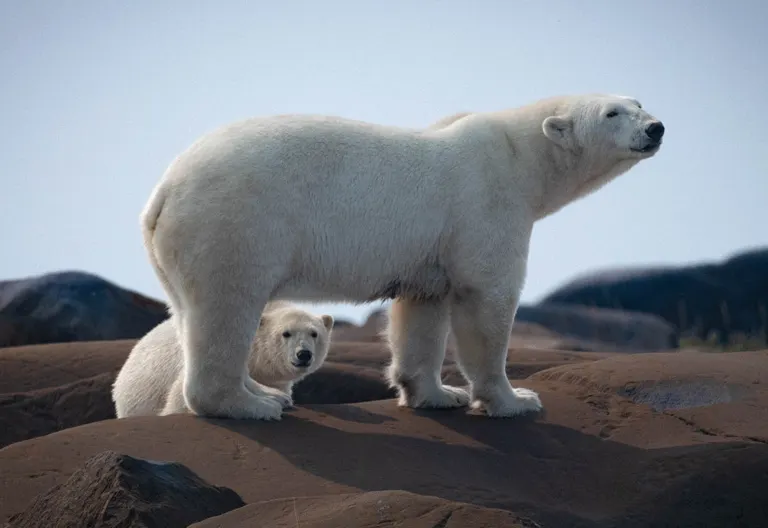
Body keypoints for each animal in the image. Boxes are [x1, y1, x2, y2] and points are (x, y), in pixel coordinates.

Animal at [139, 93, 664, 420]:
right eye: (613, 112)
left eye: (639, 103)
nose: (656, 127)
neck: (518, 155)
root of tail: (165, 189)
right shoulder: (485, 204)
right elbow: (487, 299)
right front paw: (515, 399)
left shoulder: (430, 252)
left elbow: (423, 312)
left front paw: (438, 394)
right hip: (235, 223)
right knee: (228, 305)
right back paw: (252, 404)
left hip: (180, 246)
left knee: (188, 313)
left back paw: (263, 392)